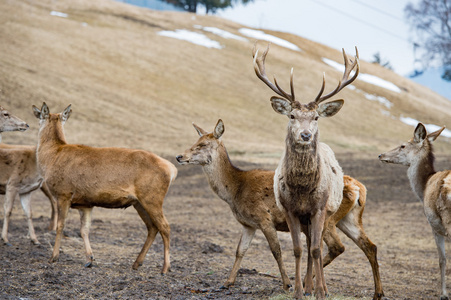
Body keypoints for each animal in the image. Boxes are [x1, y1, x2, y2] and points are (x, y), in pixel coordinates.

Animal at [30, 102, 177, 274]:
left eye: (40, 118)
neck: (52, 158)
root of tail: (172, 169)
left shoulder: (64, 193)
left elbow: (60, 226)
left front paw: (53, 257)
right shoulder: (85, 204)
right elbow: (84, 230)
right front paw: (89, 259)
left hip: (152, 197)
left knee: (165, 227)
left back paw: (165, 267)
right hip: (139, 202)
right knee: (152, 227)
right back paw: (136, 263)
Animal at [175, 119, 384, 298]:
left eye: (202, 145)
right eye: (196, 141)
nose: (179, 156)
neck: (235, 190)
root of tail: (360, 189)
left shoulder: (264, 218)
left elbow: (276, 250)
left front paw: (287, 284)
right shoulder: (248, 224)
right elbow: (240, 250)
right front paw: (227, 282)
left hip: (329, 218)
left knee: (336, 246)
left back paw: (311, 284)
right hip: (349, 219)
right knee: (369, 246)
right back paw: (377, 292)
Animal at [254, 43, 360, 298]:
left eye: (316, 117)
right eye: (292, 115)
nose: (305, 135)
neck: (302, 190)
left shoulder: (320, 208)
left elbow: (315, 249)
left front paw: (320, 291)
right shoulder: (290, 209)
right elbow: (298, 249)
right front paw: (298, 291)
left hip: (330, 213)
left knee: (318, 244)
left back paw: (321, 287)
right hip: (305, 219)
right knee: (310, 243)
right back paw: (309, 285)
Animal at [380, 122, 450, 300]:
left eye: (403, 145)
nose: (381, 155)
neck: (423, 188)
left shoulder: (435, 226)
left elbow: (442, 259)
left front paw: (444, 294)